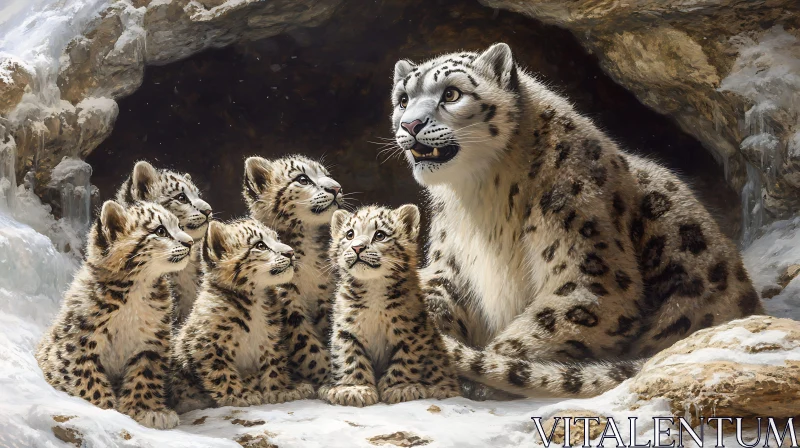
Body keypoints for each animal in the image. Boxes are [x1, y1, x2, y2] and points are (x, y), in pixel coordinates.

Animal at [390, 43, 764, 398]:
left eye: (452, 94)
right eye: (403, 100)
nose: (410, 125)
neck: (479, 196)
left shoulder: (588, 261)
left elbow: (545, 326)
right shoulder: (452, 260)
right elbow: (434, 290)